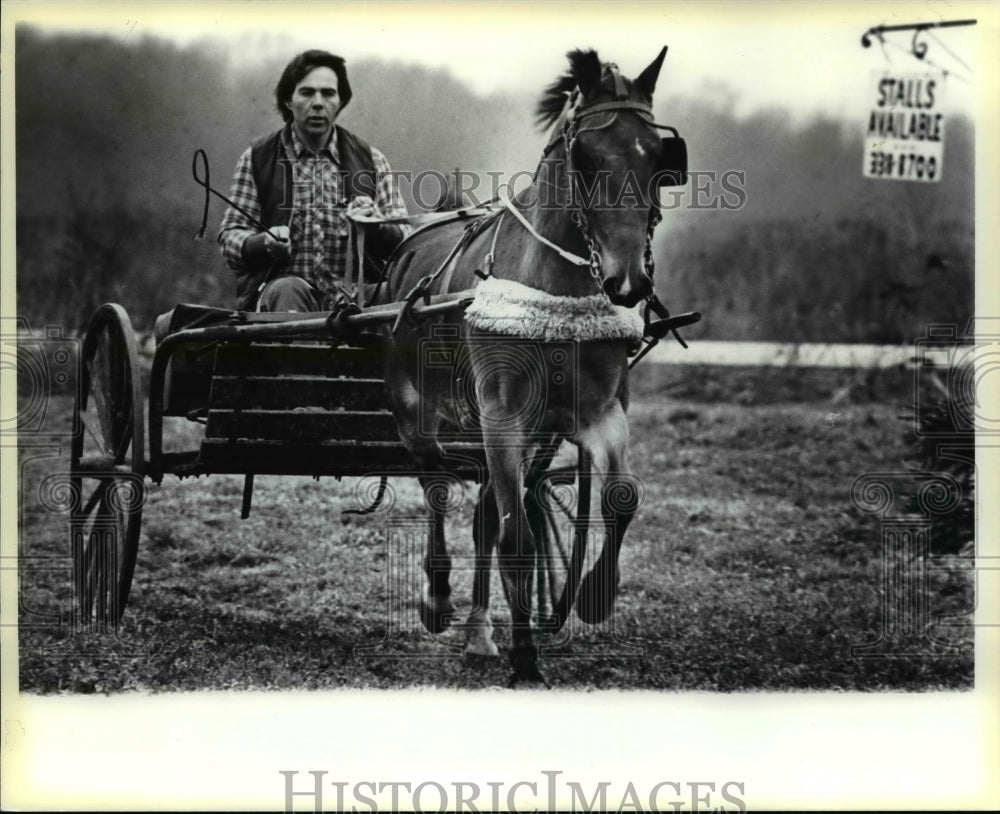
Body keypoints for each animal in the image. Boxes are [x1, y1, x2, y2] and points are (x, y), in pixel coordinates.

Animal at [378, 46, 676, 688]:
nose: (628, 282)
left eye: (658, 155)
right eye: (585, 155)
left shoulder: (599, 412)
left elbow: (620, 499)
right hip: (420, 412)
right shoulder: (502, 416)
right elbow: (515, 534)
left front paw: (594, 595)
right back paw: (439, 598)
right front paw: (525, 656)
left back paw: (479, 631)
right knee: (437, 485)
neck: (554, 287)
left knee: (487, 511)